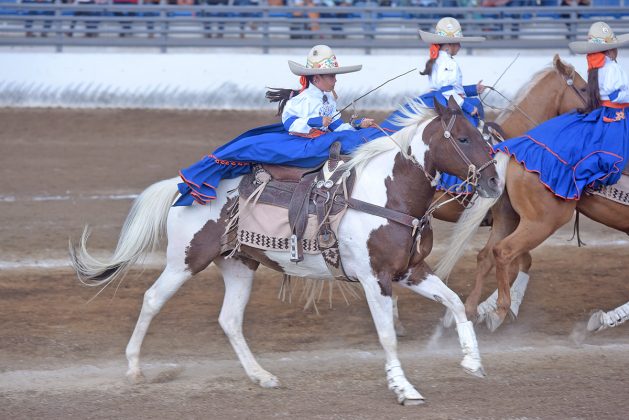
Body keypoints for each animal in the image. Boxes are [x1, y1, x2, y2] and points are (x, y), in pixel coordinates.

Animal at [68, 97, 500, 406]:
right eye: (464, 138)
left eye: (485, 135)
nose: (495, 182)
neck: (387, 193)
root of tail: (183, 188)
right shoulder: (374, 279)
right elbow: (387, 336)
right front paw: (404, 389)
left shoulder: (410, 270)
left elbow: (456, 303)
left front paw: (472, 362)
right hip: (184, 260)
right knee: (153, 299)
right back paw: (134, 369)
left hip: (239, 264)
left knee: (229, 320)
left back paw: (262, 376)